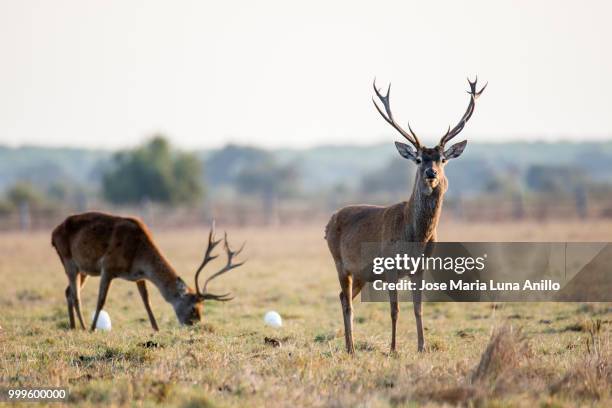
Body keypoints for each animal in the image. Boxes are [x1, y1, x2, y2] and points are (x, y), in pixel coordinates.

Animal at [51, 214, 244, 332]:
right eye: (193, 307)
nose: (196, 325)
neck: (137, 253)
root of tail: (53, 234)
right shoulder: (107, 267)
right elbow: (101, 300)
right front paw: (93, 329)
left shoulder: (138, 276)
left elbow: (147, 302)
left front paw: (156, 329)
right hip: (69, 260)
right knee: (76, 295)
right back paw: (84, 327)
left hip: (84, 269)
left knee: (68, 291)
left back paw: (73, 326)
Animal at [326, 78, 488, 352]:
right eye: (419, 159)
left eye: (442, 159)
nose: (431, 173)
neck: (415, 236)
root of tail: (328, 222)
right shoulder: (390, 266)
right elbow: (395, 310)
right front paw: (393, 349)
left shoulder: (420, 268)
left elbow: (418, 308)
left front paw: (422, 347)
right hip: (340, 263)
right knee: (346, 301)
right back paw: (352, 349)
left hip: (361, 273)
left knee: (342, 298)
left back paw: (350, 346)